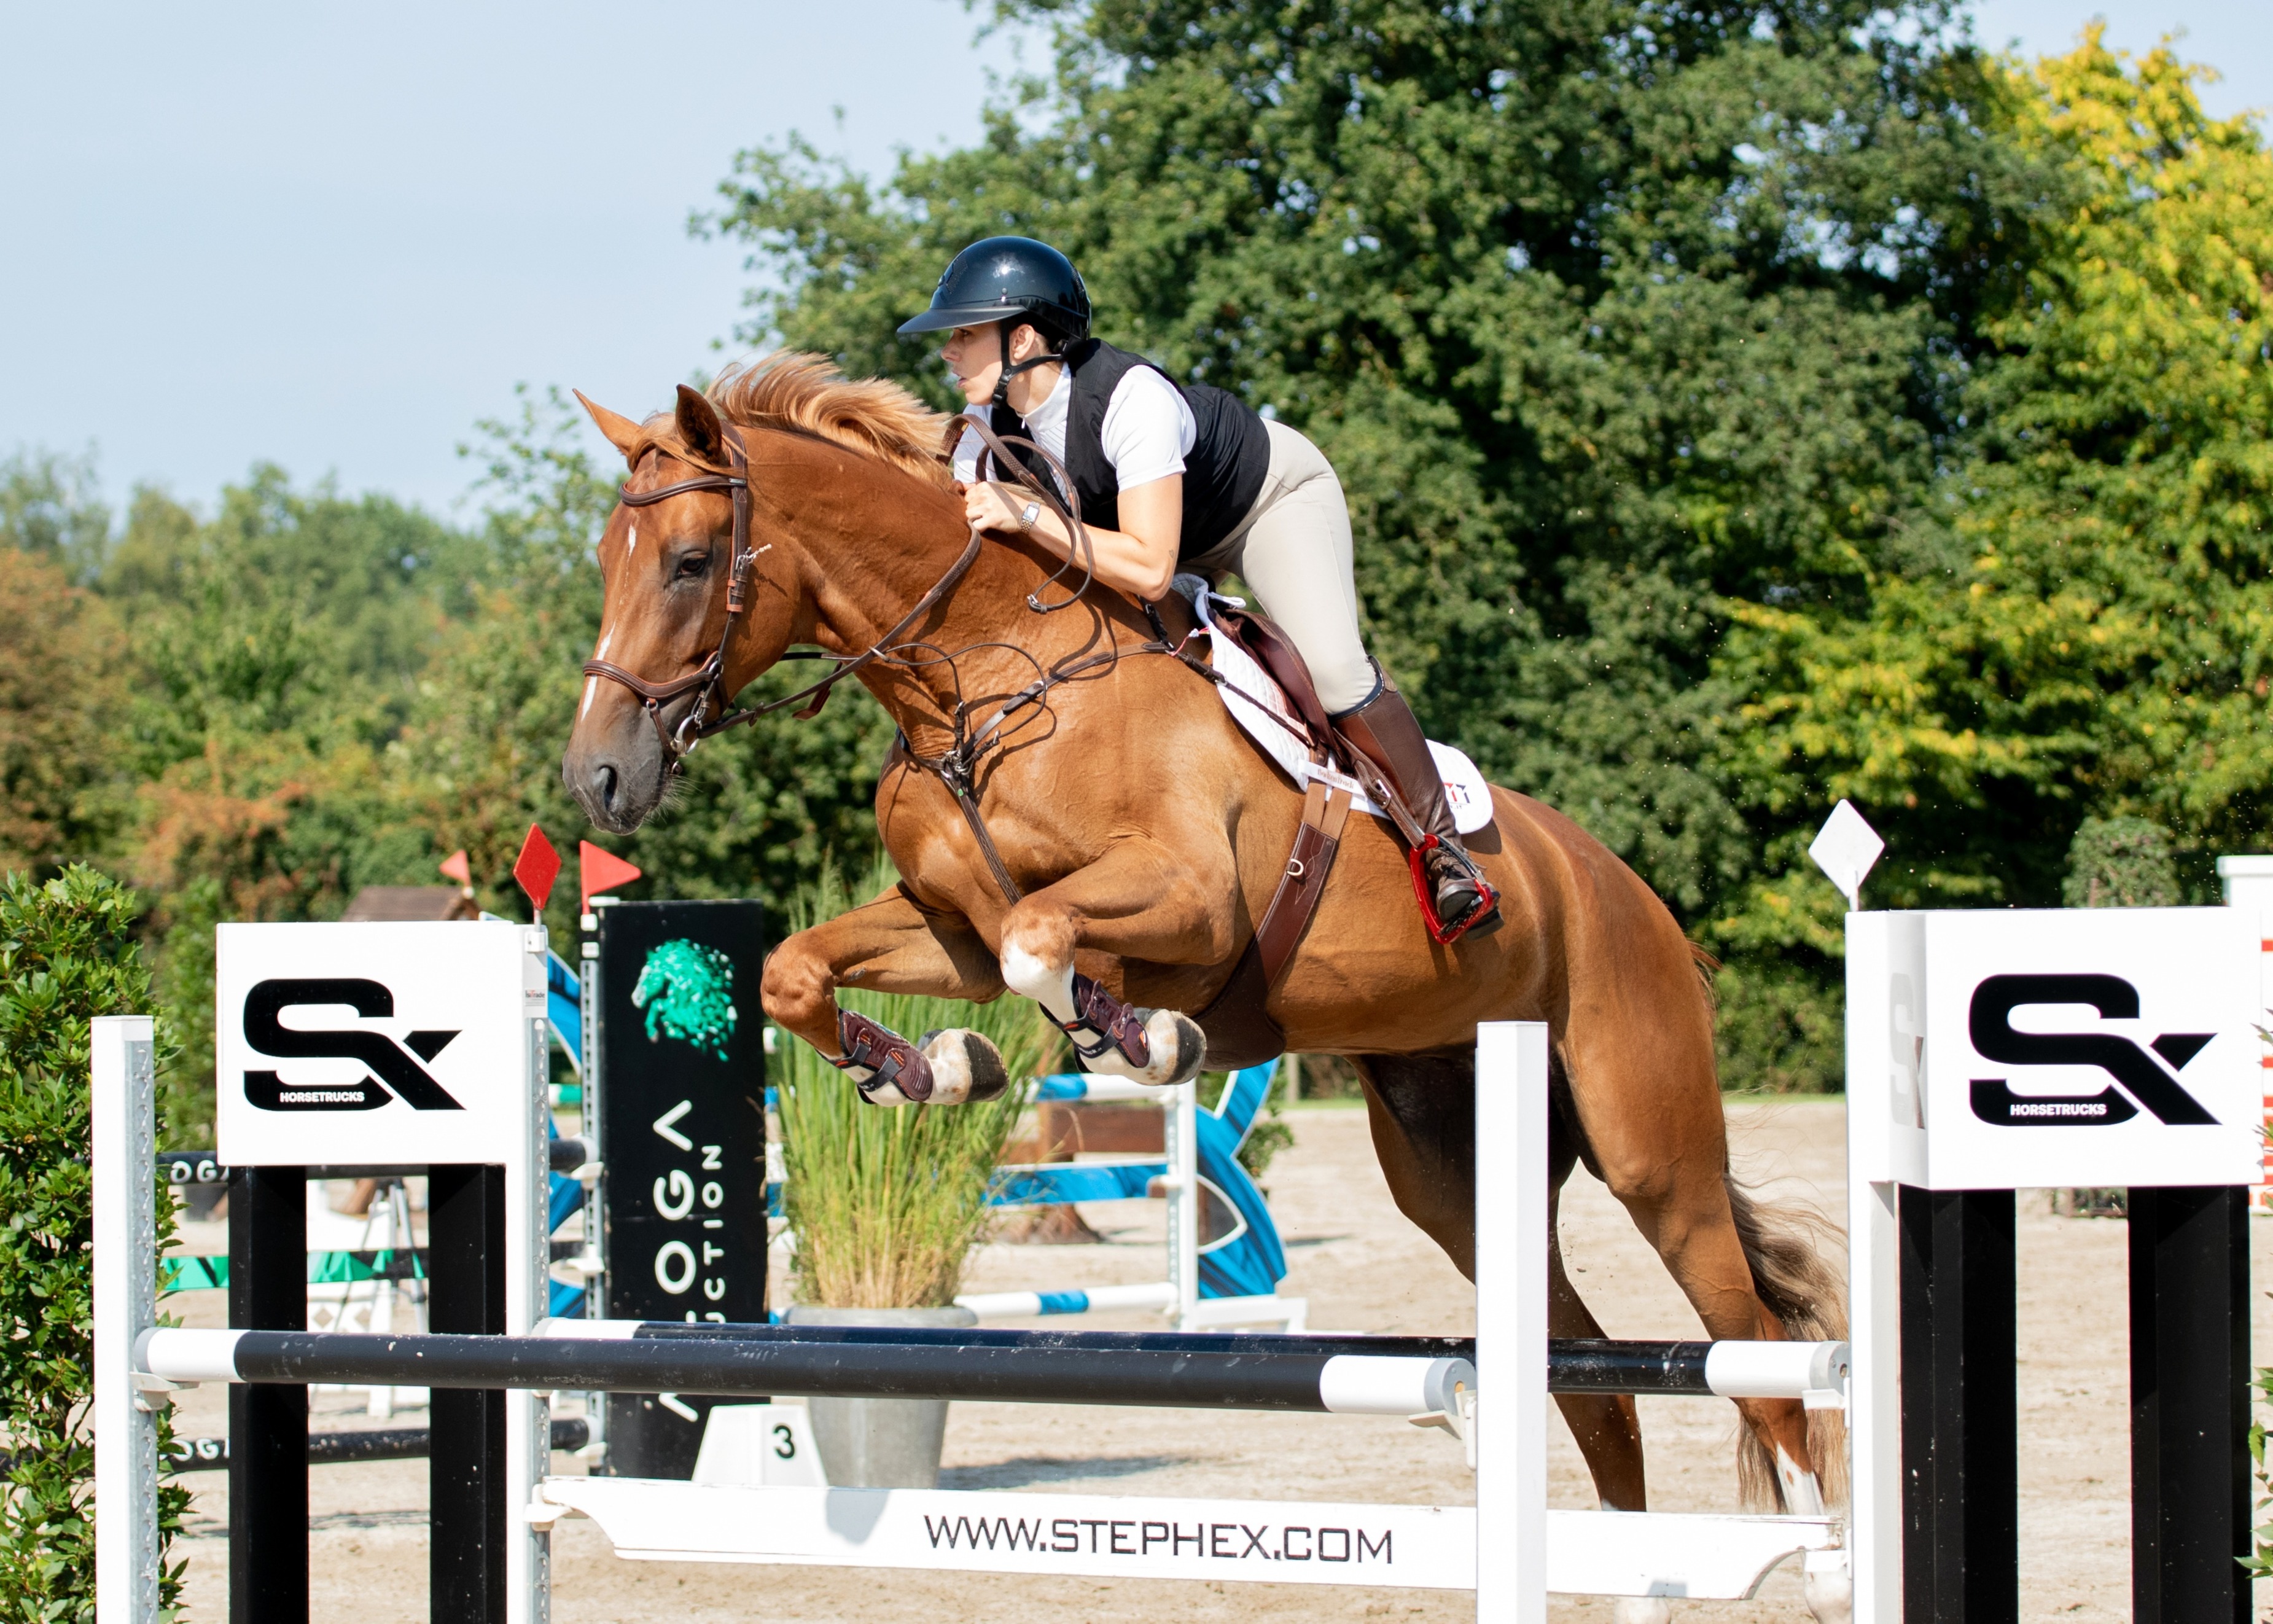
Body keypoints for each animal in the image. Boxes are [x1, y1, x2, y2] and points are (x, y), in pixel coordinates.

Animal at [559, 356, 1849, 1621]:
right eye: (606, 562)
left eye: (688, 561)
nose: (599, 777)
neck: (980, 672)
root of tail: (1630, 893)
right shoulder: (947, 926)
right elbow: (809, 968)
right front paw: (930, 1066)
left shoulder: (1187, 900)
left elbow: (1042, 937)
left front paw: (1143, 1038)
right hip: (1455, 1169)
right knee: (1593, 1382)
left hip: (1654, 1152)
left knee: (1759, 1365)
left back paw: (1816, 1550)